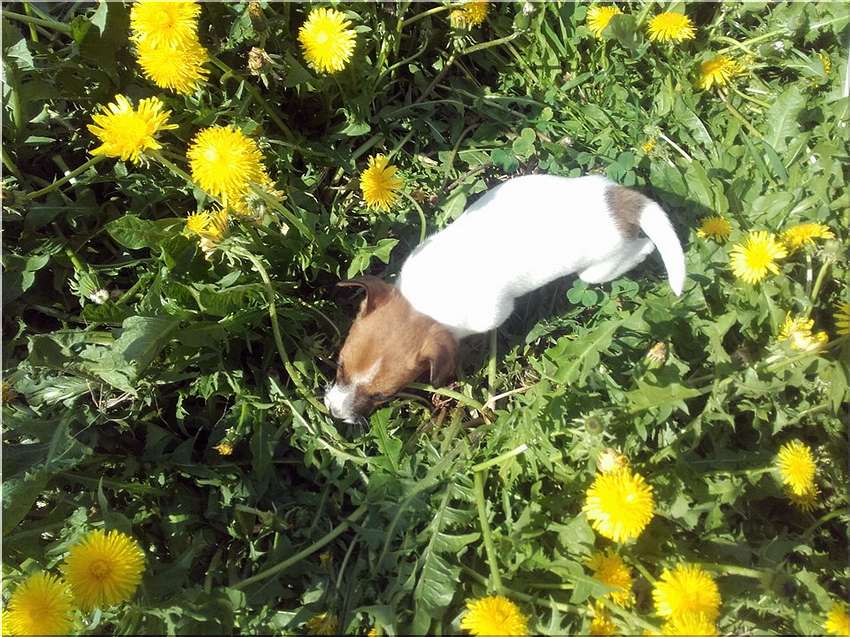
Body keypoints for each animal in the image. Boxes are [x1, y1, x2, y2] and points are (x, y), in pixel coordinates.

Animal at [325, 174, 686, 423]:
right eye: (340, 367)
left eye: (382, 396)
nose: (333, 413)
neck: (427, 300)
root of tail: (621, 203)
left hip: (599, 270)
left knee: (641, 249)